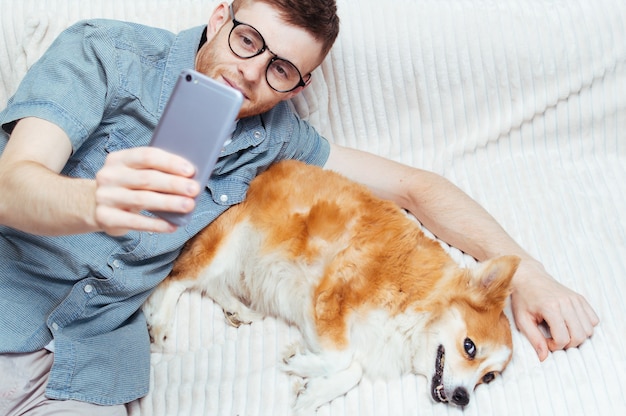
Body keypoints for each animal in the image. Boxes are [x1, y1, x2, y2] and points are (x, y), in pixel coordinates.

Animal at [144, 159, 520, 412]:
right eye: (469, 347)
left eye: (489, 378)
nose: (463, 398)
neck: (419, 303)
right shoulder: (330, 298)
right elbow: (345, 360)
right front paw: (302, 364)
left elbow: (353, 370)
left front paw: (312, 391)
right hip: (226, 245)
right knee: (176, 281)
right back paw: (159, 325)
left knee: (209, 285)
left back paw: (240, 310)